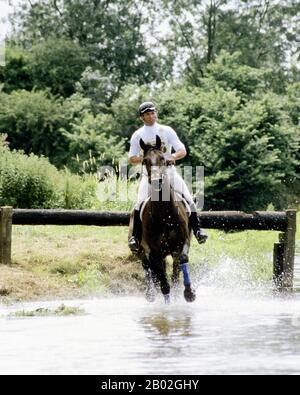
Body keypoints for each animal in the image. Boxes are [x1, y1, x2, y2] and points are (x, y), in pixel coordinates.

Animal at [136, 135, 197, 304]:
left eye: (162, 158)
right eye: (144, 161)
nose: (157, 180)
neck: (165, 216)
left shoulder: (181, 244)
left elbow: (182, 261)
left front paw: (189, 293)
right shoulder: (155, 252)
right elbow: (164, 285)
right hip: (144, 250)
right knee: (148, 266)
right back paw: (150, 293)